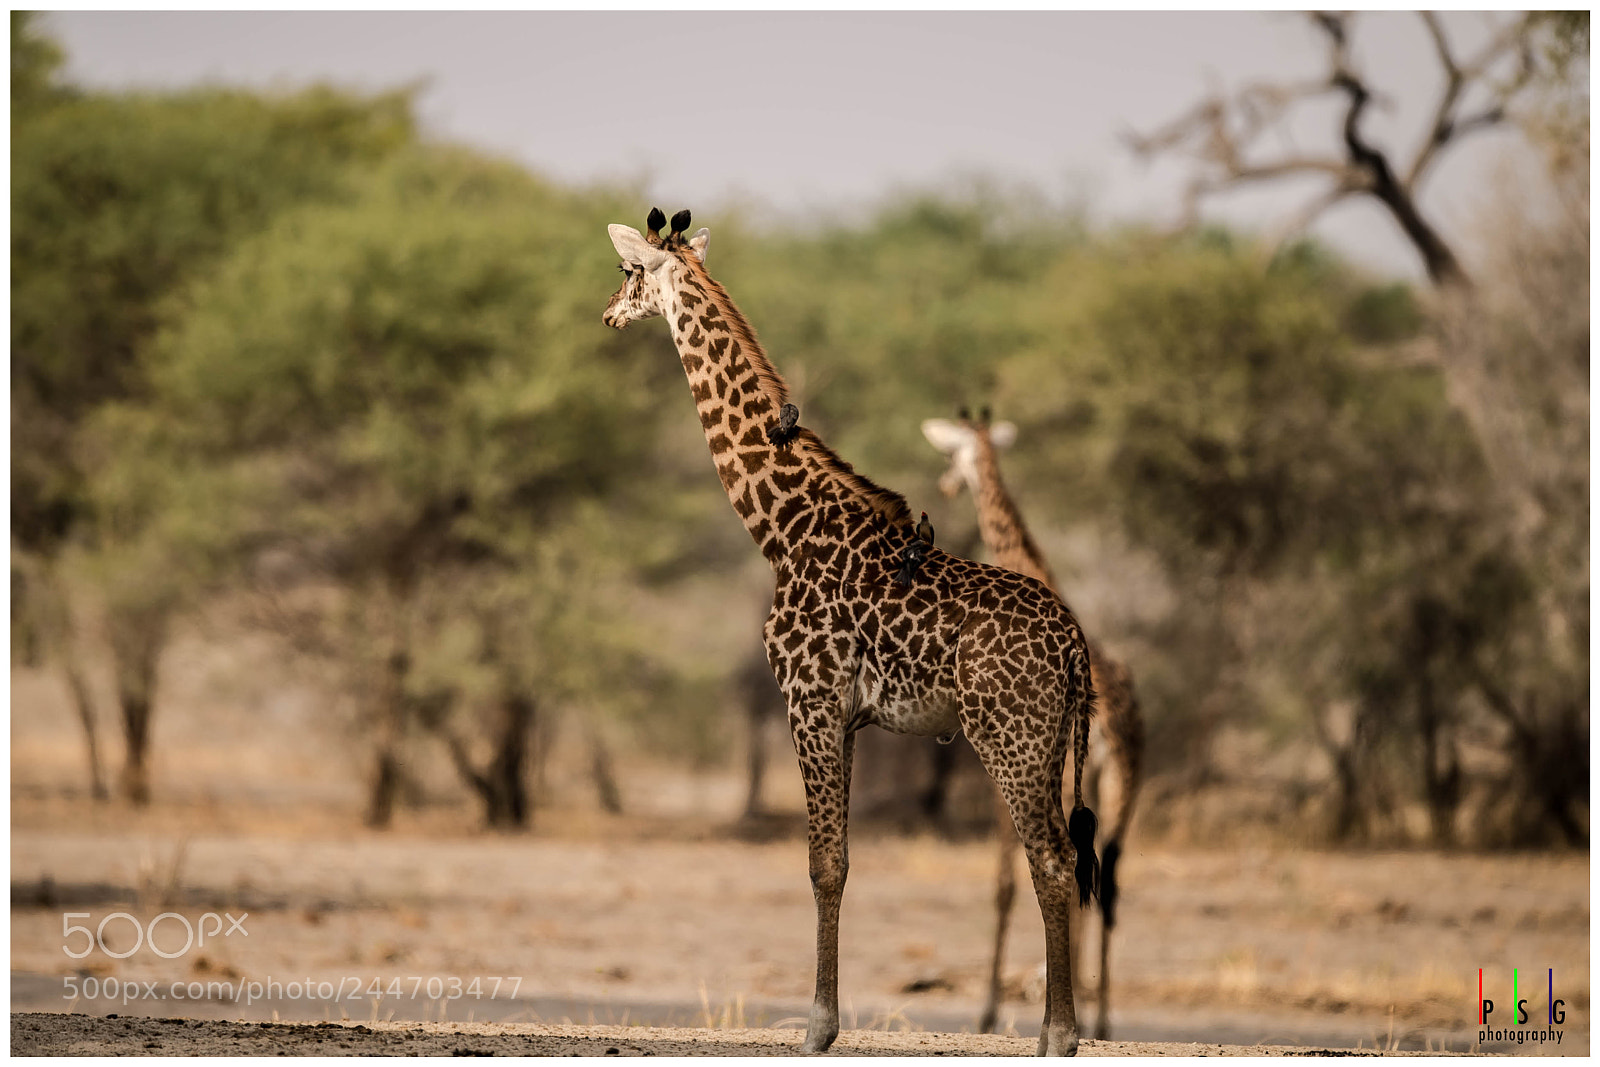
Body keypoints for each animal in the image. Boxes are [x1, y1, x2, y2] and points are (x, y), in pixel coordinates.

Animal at [603, 208, 1099, 1056]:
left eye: (630, 272)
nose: (607, 312)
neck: (782, 528)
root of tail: (1073, 646)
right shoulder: (851, 716)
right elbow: (842, 856)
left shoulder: (809, 701)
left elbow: (822, 862)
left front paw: (817, 1027)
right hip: (1052, 737)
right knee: (1064, 856)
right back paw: (1051, 1030)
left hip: (1011, 734)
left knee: (1052, 858)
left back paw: (1059, 1034)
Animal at [922, 410, 1145, 1041]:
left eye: (950, 456)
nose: (947, 485)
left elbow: (1003, 884)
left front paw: (988, 1012)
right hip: (1123, 786)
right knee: (1108, 881)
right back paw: (1102, 1018)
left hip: (1076, 779)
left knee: (1076, 874)